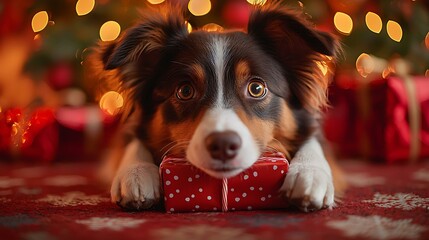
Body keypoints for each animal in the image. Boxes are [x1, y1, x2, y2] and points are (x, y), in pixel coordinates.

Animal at [91, 1, 344, 212]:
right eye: (185, 91)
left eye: (256, 88)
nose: (223, 144)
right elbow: (134, 141)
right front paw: (136, 172)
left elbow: (312, 141)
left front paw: (309, 173)